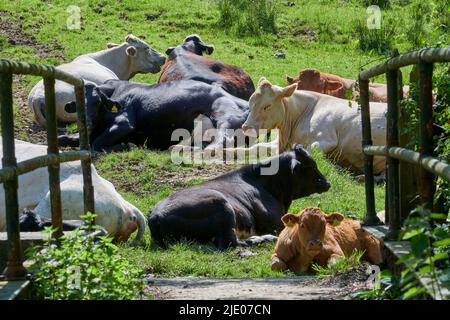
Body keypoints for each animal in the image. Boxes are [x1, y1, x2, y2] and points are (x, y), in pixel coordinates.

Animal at [56, 78, 250, 151]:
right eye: (77, 104)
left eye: (97, 102)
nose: (86, 123)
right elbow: (66, 138)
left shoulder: (124, 123)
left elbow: (96, 144)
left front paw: (124, 145)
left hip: (224, 117)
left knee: (224, 139)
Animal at [149, 145, 328, 250]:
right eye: (311, 167)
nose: (327, 182)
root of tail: (156, 215)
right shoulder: (276, 223)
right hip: (222, 206)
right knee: (231, 243)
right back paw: (263, 239)